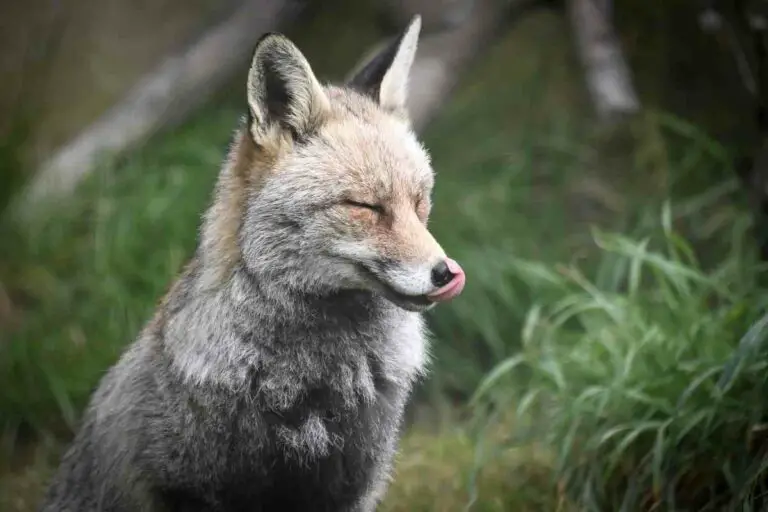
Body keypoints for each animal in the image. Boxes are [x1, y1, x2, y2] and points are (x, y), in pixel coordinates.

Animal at [39, 14, 466, 512]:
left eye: (419, 202)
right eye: (365, 206)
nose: (446, 273)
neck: (311, 388)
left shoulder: (352, 485)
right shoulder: (187, 487)